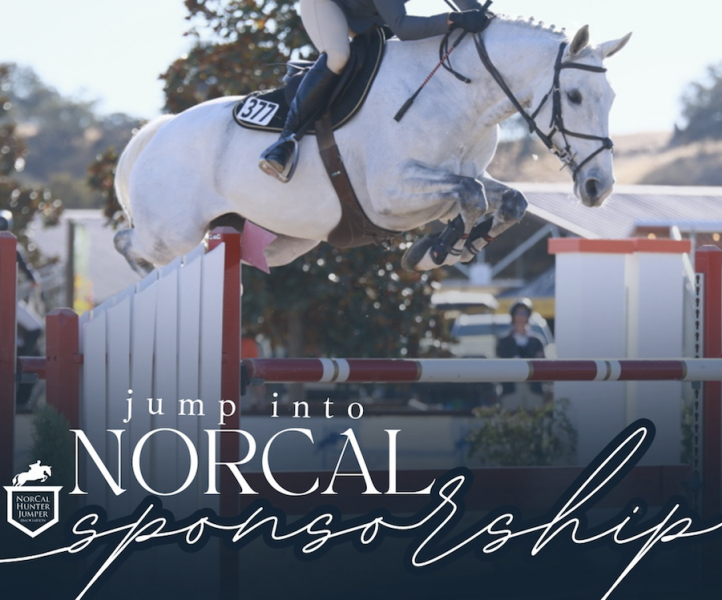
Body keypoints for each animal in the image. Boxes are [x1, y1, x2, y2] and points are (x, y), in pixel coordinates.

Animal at [111, 15, 624, 274]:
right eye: (574, 96)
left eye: (612, 98)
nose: (598, 188)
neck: (459, 93)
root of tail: (156, 133)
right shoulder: (389, 192)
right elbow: (470, 195)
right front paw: (437, 250)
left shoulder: (466, 173)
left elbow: (507, 199)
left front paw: (449, 247)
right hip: (170, 232)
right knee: (129, 243)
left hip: (283, 241)